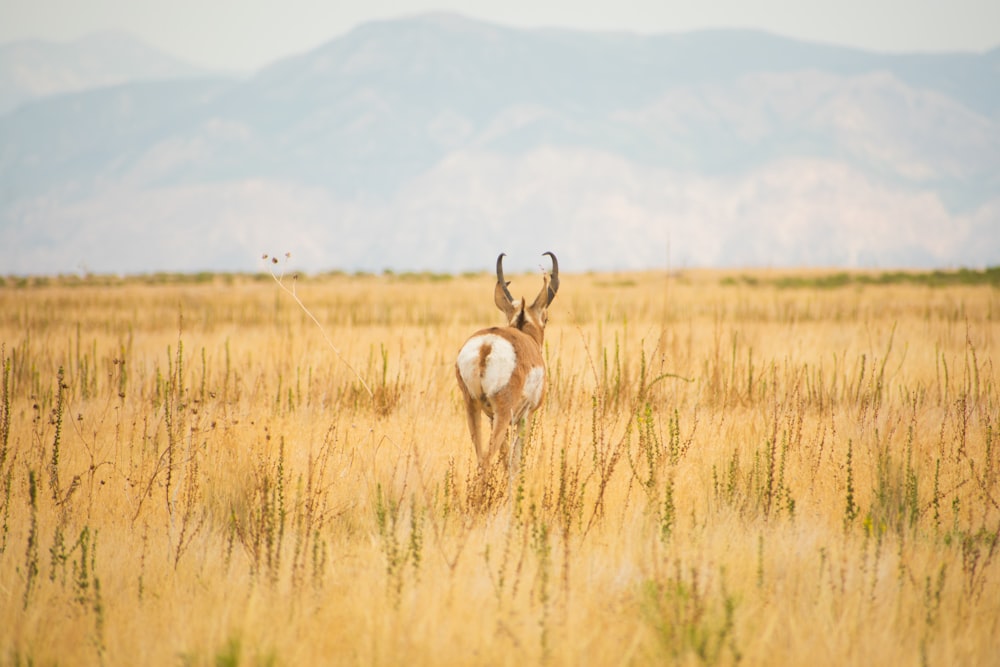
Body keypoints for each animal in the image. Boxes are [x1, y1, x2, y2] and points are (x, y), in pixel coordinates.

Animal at [456, 250, 560, 474]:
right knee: (487, 460)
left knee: (481, 458)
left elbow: (505, 459)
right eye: (546, 319)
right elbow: (516, 461)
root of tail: (486, 345)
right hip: (503, 414)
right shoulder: (526, 416)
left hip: (473, 407)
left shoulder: (491, 417)